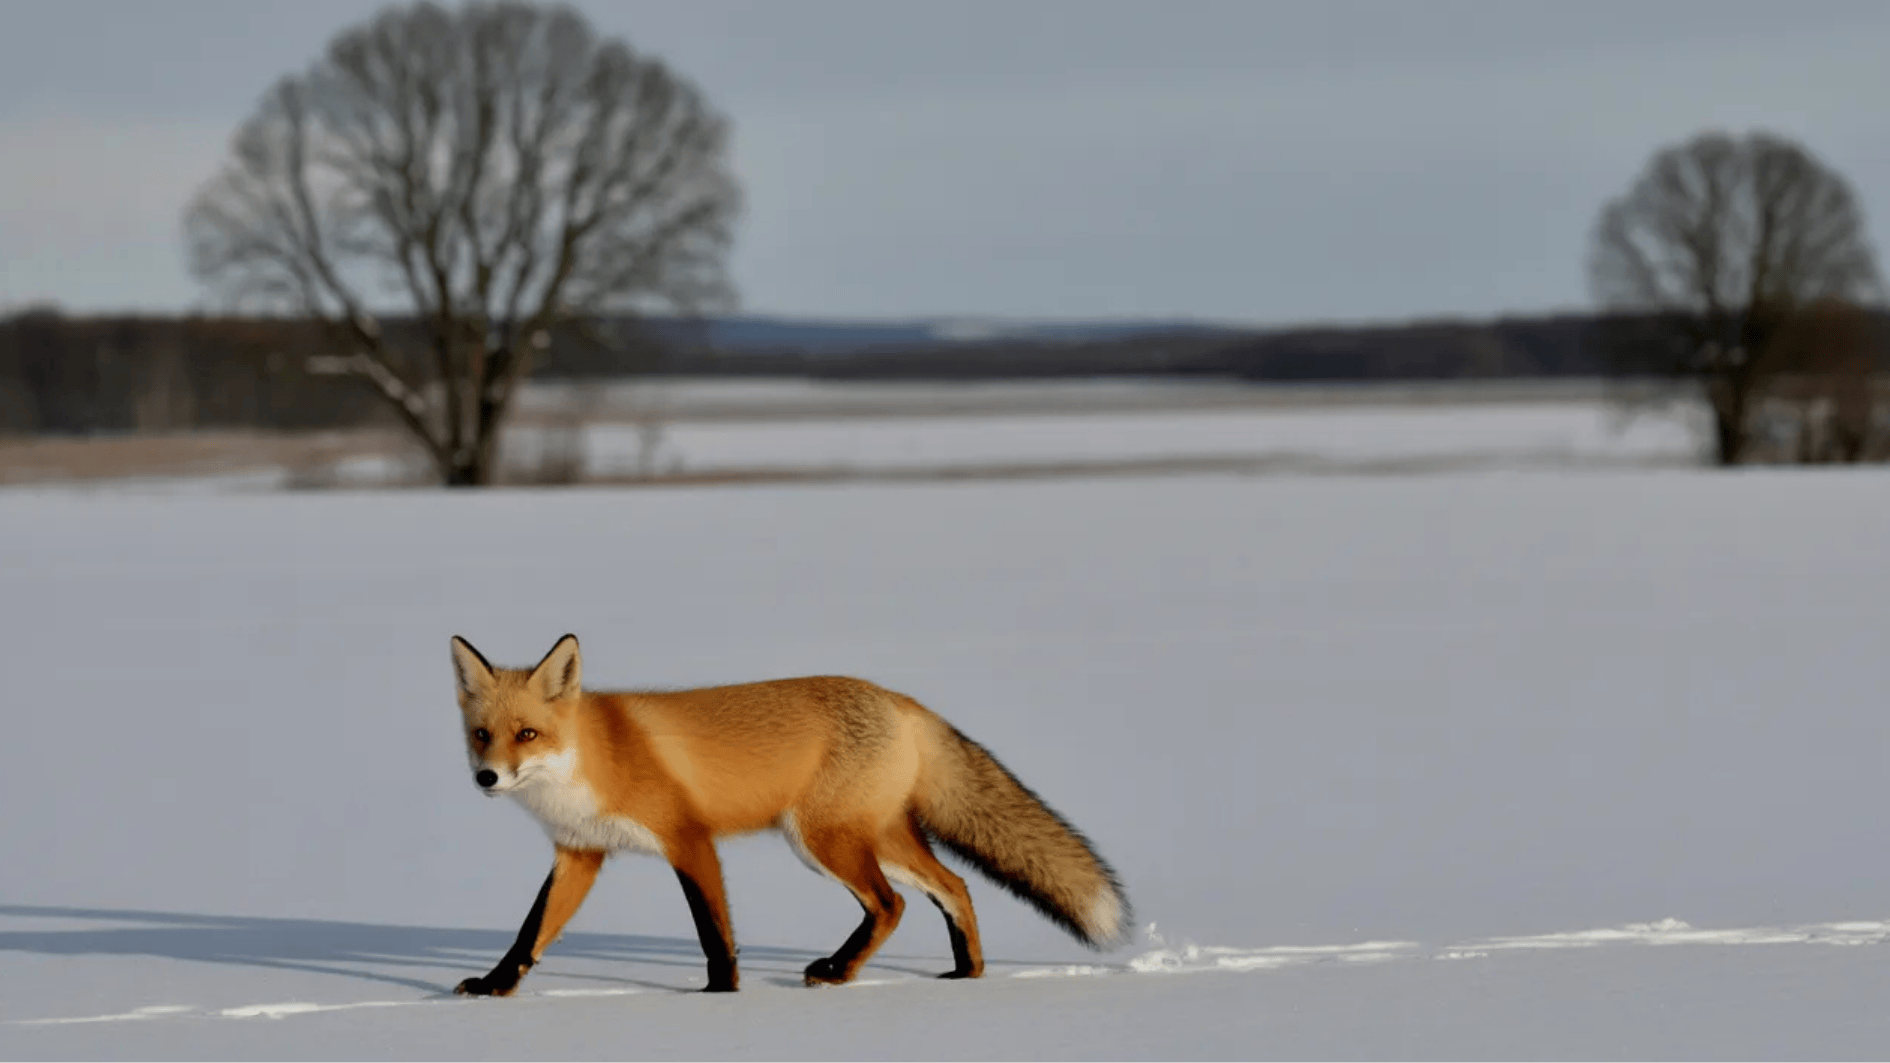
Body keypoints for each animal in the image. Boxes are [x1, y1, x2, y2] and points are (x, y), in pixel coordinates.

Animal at [447, 633, 1130, 995]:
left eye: (527, 734)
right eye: (482, 735)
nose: (485, 778)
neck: (593, 759)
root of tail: (897, 699)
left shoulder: (688, 839)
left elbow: (714, 932)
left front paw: (720, 995)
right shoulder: (580, 853)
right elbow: (530, 932)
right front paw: (495, 987)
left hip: (824, 841)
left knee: (892, 905)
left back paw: (840, 971)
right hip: (873, 840)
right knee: (954, 886)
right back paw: (966, 973)